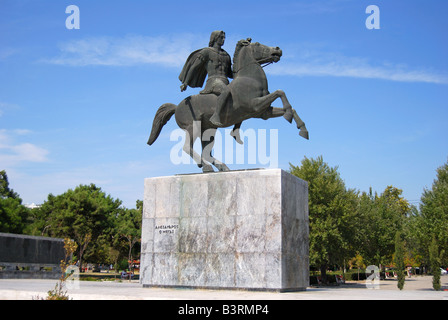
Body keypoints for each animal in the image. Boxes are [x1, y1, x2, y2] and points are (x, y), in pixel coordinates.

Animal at [147, 38, 308, 172]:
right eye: (257, 44)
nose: (278, 49)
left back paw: (221, 167)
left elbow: (288, 105)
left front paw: (302, 129)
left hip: (208, 130)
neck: (250, 78)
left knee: (206, 152)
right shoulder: (254, 105)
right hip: (193, 127)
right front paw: (289, 117)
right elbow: (280, 92)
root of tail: (177, 107)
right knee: (188, 147)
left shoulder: (263, 113)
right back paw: (205, 166)